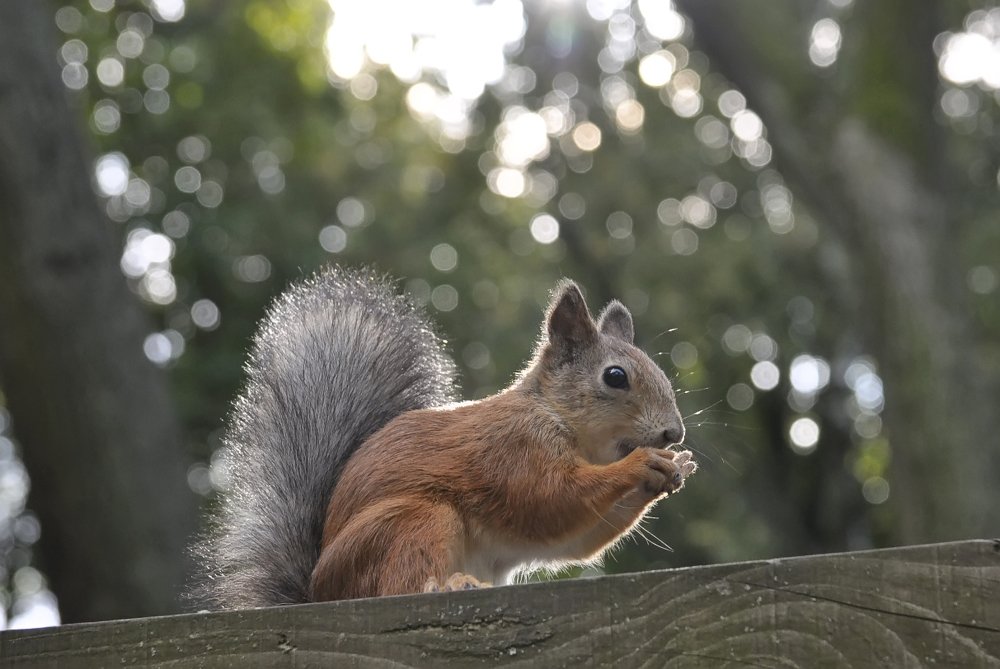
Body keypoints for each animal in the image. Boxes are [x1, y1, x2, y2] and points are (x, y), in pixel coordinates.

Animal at [192, 266, 695, 608]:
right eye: (615, 376)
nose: (674, 432)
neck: (556, 416)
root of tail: (320, 593)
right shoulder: (511, 449)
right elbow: (551, 498)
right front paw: (641, 465)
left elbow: (577, 539)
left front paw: (672, 470)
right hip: (407, 522)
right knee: (398, 584)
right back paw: (446, 583)